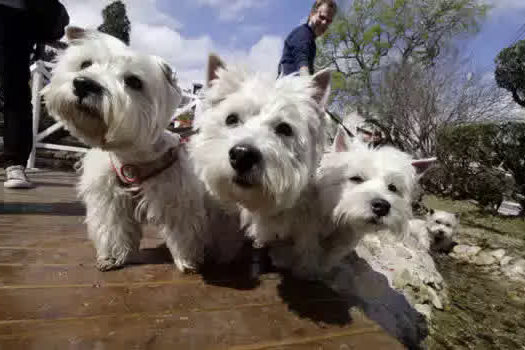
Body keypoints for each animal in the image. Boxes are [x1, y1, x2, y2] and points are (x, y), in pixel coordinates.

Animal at [44, 28, 243, 274]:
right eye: (85, 64)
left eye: (133, 81)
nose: (83, 84)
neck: (131, 156)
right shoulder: (110, 200)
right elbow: (113, 228)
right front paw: (112, 257)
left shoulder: (177, 198)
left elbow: (183, 232)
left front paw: (187, 261)